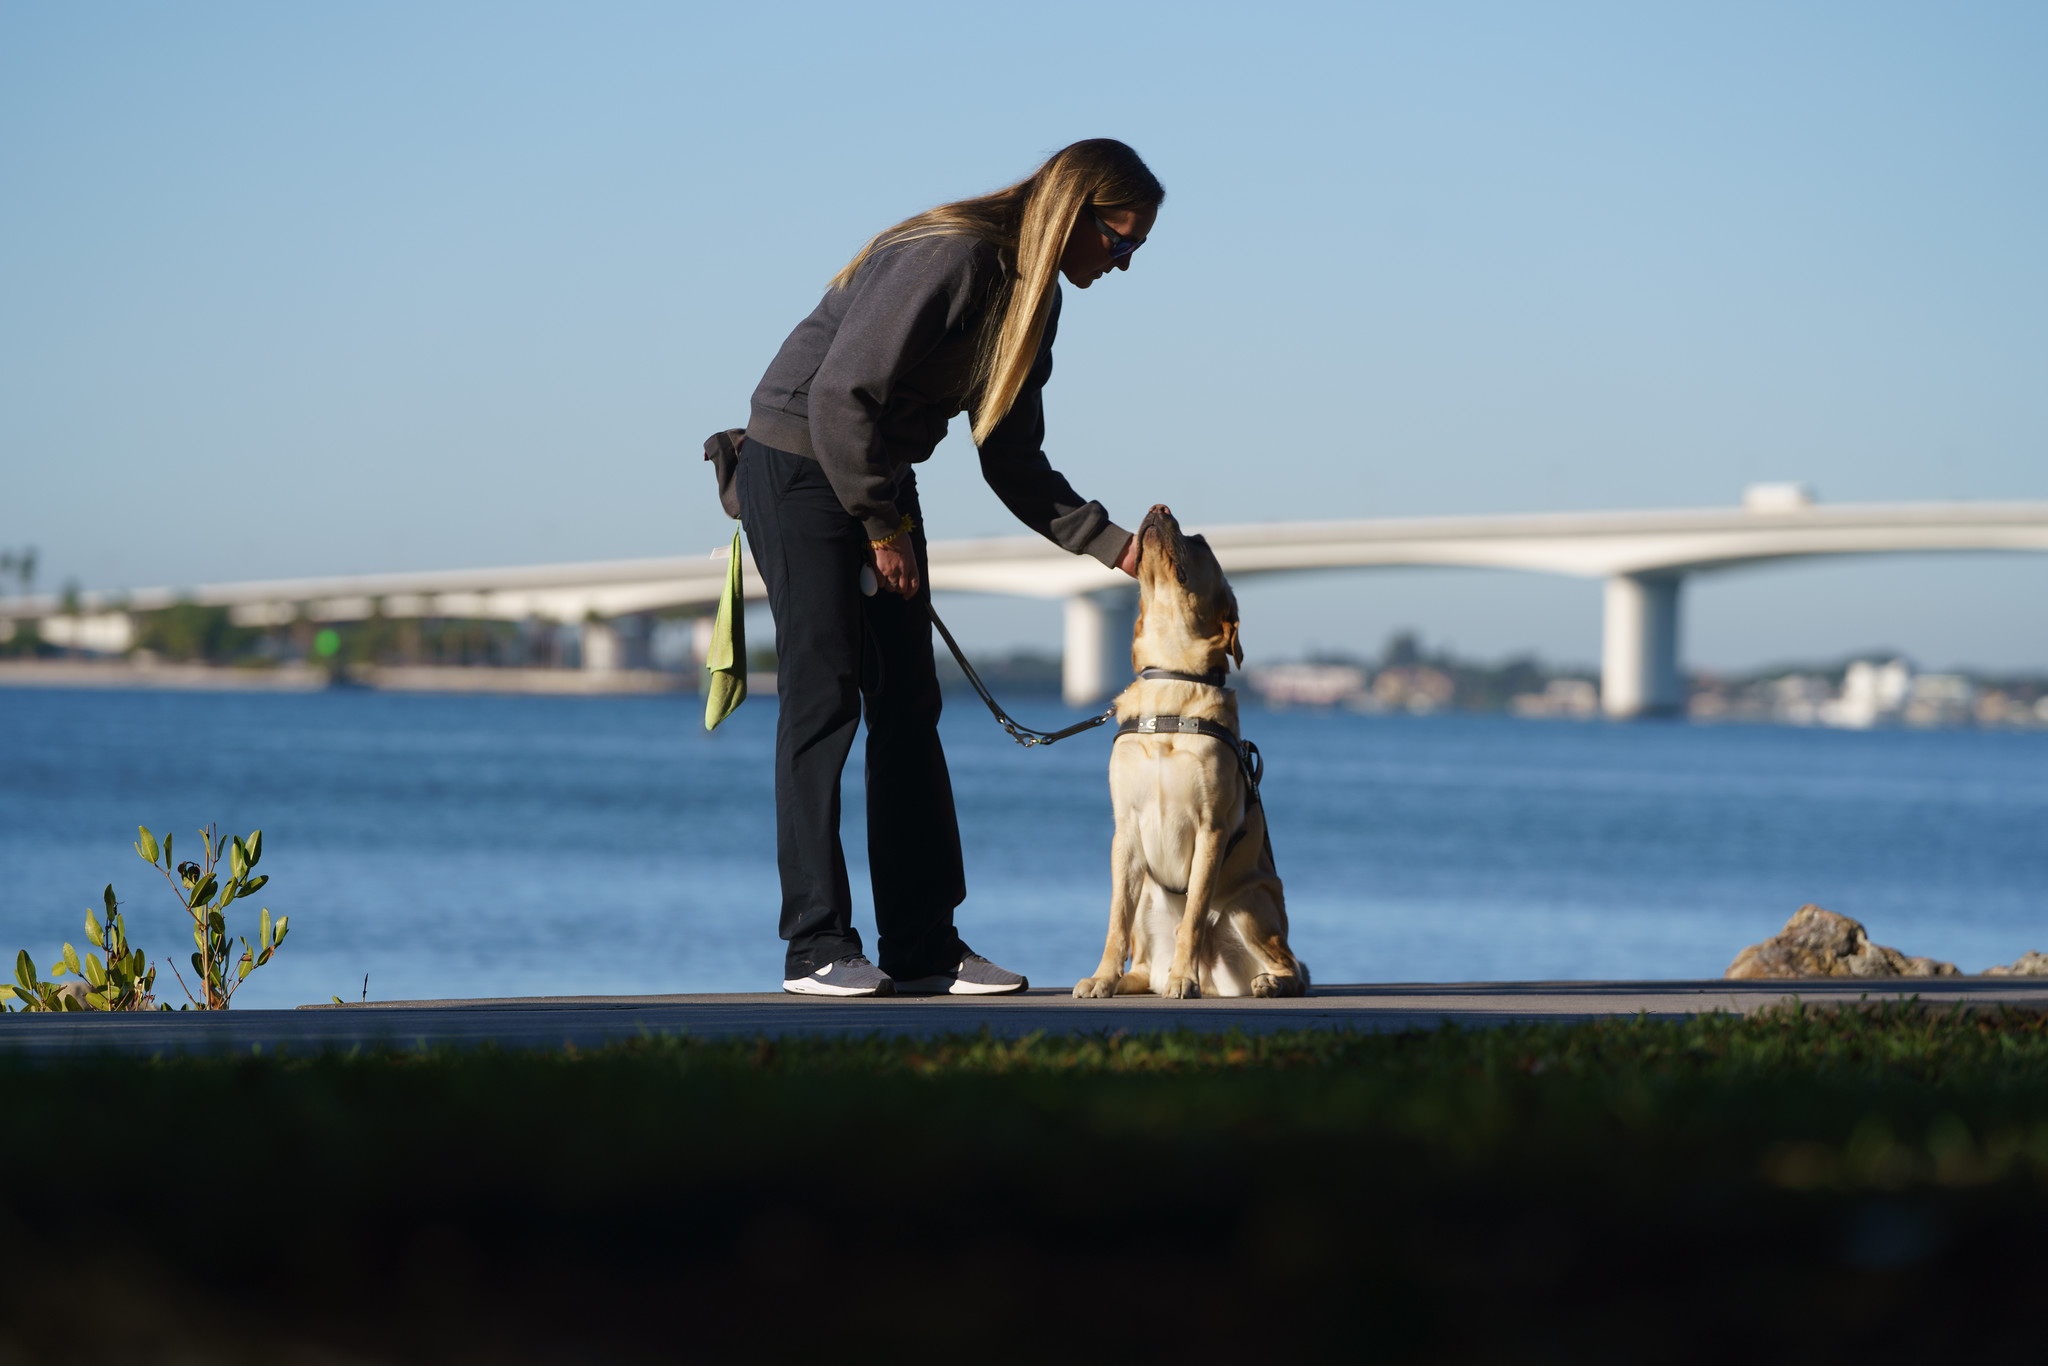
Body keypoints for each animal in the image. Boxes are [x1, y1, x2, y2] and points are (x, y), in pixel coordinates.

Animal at [1073, 507, 1310, 999]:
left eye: (1199, 541)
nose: (1159, 509)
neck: (1173, 677)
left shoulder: (1211, 829)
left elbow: (1195, 915)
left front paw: (1184, 977)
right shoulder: (1125, 830)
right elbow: (1115, 921)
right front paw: (1102, 977)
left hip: (1251, 903)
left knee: (1293, 967)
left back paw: (1263, 982)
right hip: (1147, 894)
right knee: (1143, 964)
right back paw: (1129, 979)